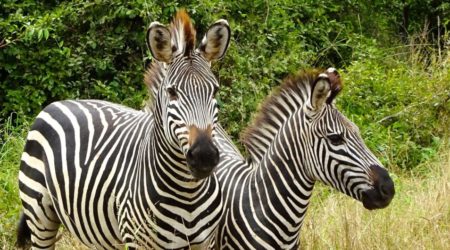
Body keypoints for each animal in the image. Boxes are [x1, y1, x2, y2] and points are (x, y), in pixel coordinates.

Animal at [15, 9, 230, 248]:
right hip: (39, 212)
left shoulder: (206, 241)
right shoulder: (137, 240)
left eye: (215, 91)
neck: (188, 192)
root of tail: (55, 103)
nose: (204, 156)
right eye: (172, 92)